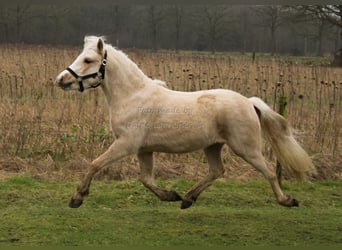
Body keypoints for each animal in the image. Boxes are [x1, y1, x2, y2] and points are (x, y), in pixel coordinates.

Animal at [54, 36, 316, 209]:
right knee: (217, 171)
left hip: (246, 148)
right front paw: (170, 195)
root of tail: (249, 102)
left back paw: (286, 200)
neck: (133, 96)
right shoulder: (143, 149)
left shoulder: (126, 144)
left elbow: (94, 164)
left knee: (269, 171)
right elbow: (146, 179)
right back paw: (188, 198)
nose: (61, 80)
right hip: (213, 146)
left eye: (88, 59)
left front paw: (77, 197)